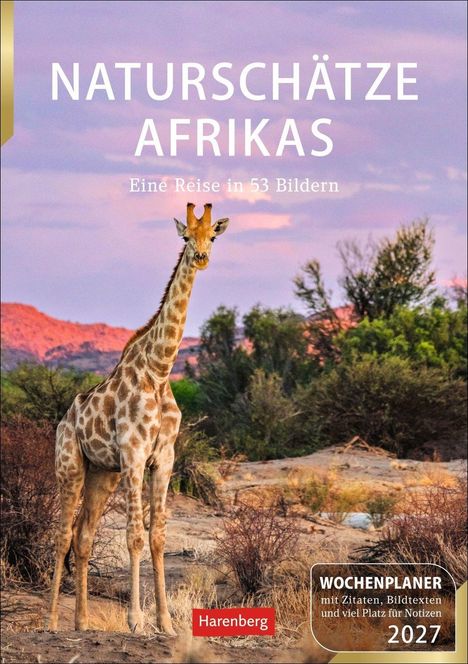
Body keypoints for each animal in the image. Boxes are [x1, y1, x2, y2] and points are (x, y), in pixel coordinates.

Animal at [47, 202, 229, 635]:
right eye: (186, 236)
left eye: (212, 235)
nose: (201, 257)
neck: (159, 370)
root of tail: (63, 421)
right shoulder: (133, 454)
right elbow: (134, 535)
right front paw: (136, 621)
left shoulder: (163, 459)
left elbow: (158, 536)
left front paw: (165, 623)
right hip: (70, 466)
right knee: (62, 535)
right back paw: (52, 621)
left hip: (102, 473)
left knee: (84, 535)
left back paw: (82, 623)